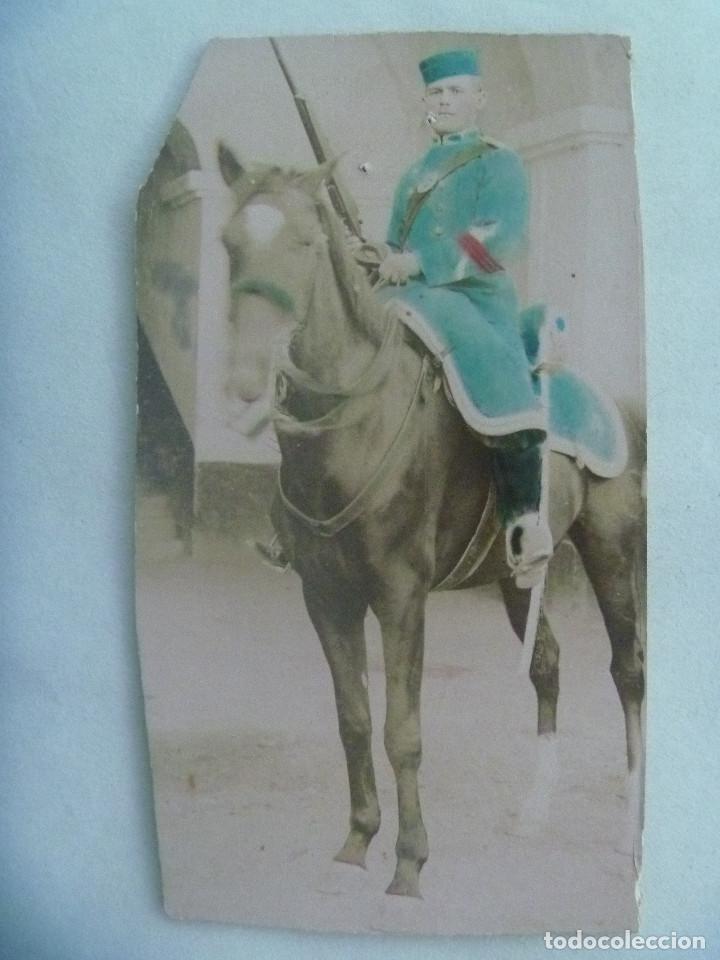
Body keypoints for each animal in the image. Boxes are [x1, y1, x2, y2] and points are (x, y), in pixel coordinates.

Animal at [218, 144, 646, 898]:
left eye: (304, 243)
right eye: (228, 243)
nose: (246, 376)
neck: (351, 427)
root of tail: (614, 400)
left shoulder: (400, 597)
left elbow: (403, 731)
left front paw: (410, 863)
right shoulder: (324, 596)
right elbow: (355, 719)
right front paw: (357, 842)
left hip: (611, 554)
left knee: (627, 671)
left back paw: (631, 832)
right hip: (515, 576)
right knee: (547, 664)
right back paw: (534, 812)